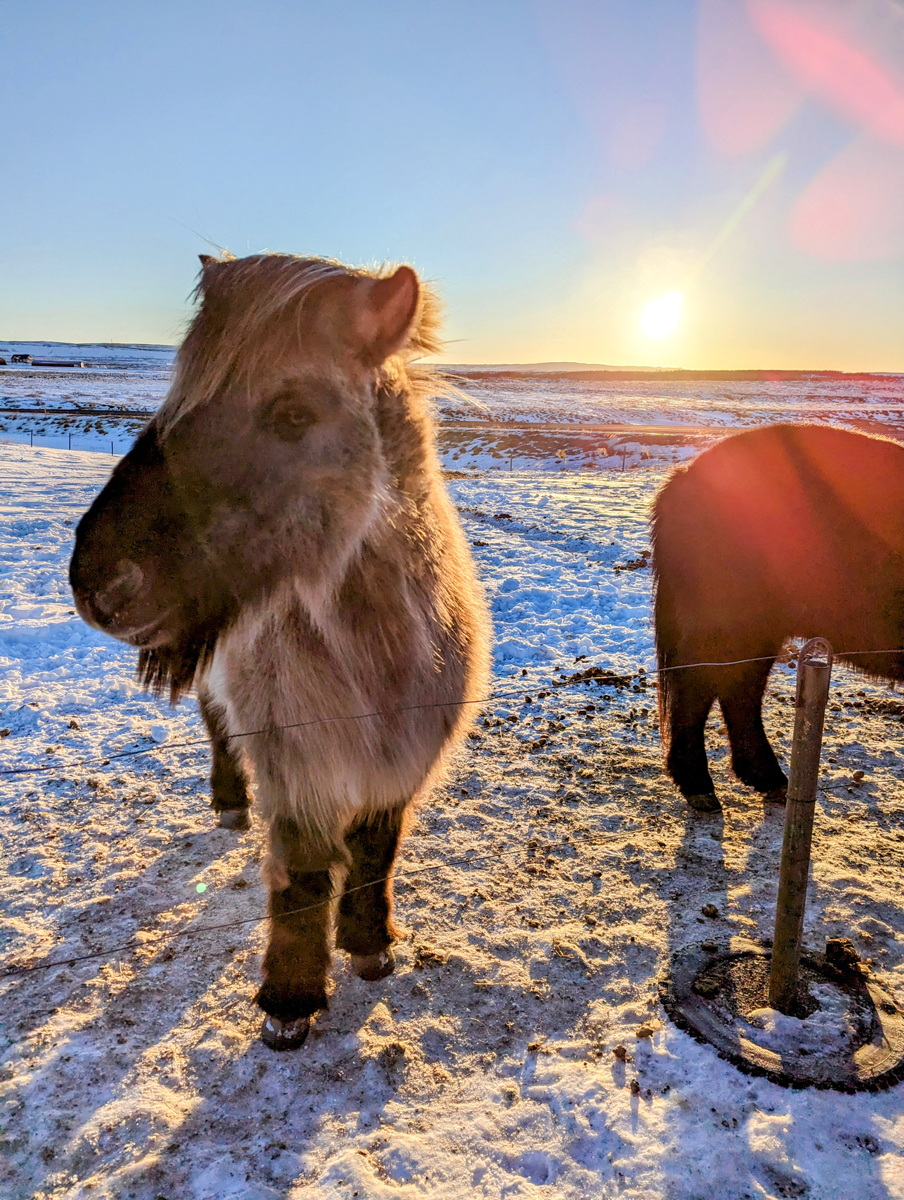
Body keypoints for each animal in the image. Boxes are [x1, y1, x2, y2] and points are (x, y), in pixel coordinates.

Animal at [69, 252, 491, 1049]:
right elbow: (303, 874)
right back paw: (231, 806)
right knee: (218, 736)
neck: (378, 662)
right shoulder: (299, 767)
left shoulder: (402, 763)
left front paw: (370, 946)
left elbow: (375, 854)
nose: (96, 582)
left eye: (292, 413)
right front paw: (290, 997)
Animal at [651, 423, 904, 812]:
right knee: (699, 690)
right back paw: (700, 785)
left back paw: (766, 779)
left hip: (757, 633)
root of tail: (685, 478)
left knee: (738, 693)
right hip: (731, 629)